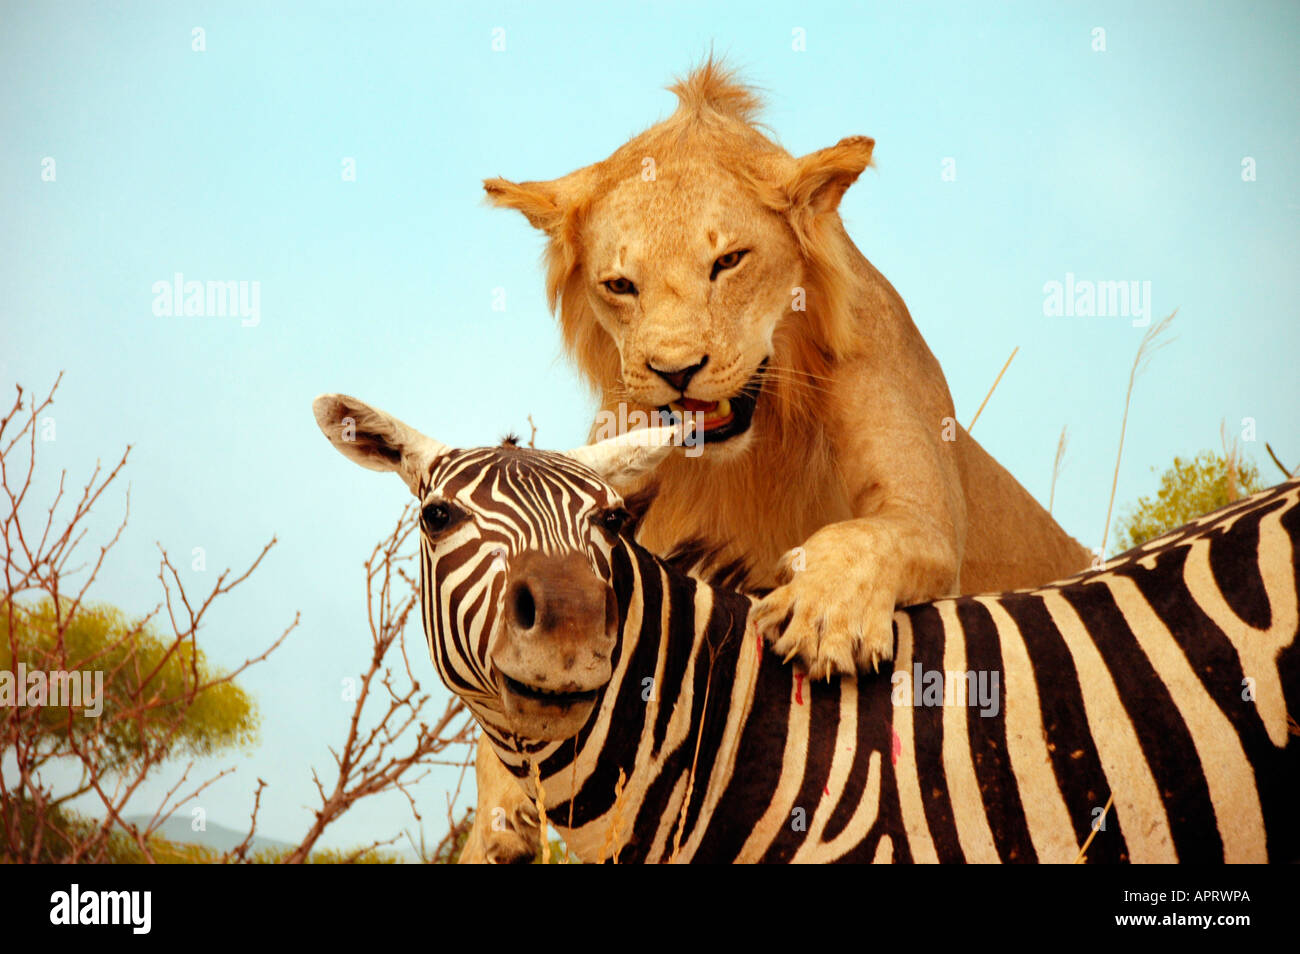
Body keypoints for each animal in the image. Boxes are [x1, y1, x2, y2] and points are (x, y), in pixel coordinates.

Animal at [461, 60, 1091, 862]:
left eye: (728, 261)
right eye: (619, 285)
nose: (675, 370)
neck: (749, 456)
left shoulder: (923, 511)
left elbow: (870, 534)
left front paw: (821, 613)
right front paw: (500, 813)